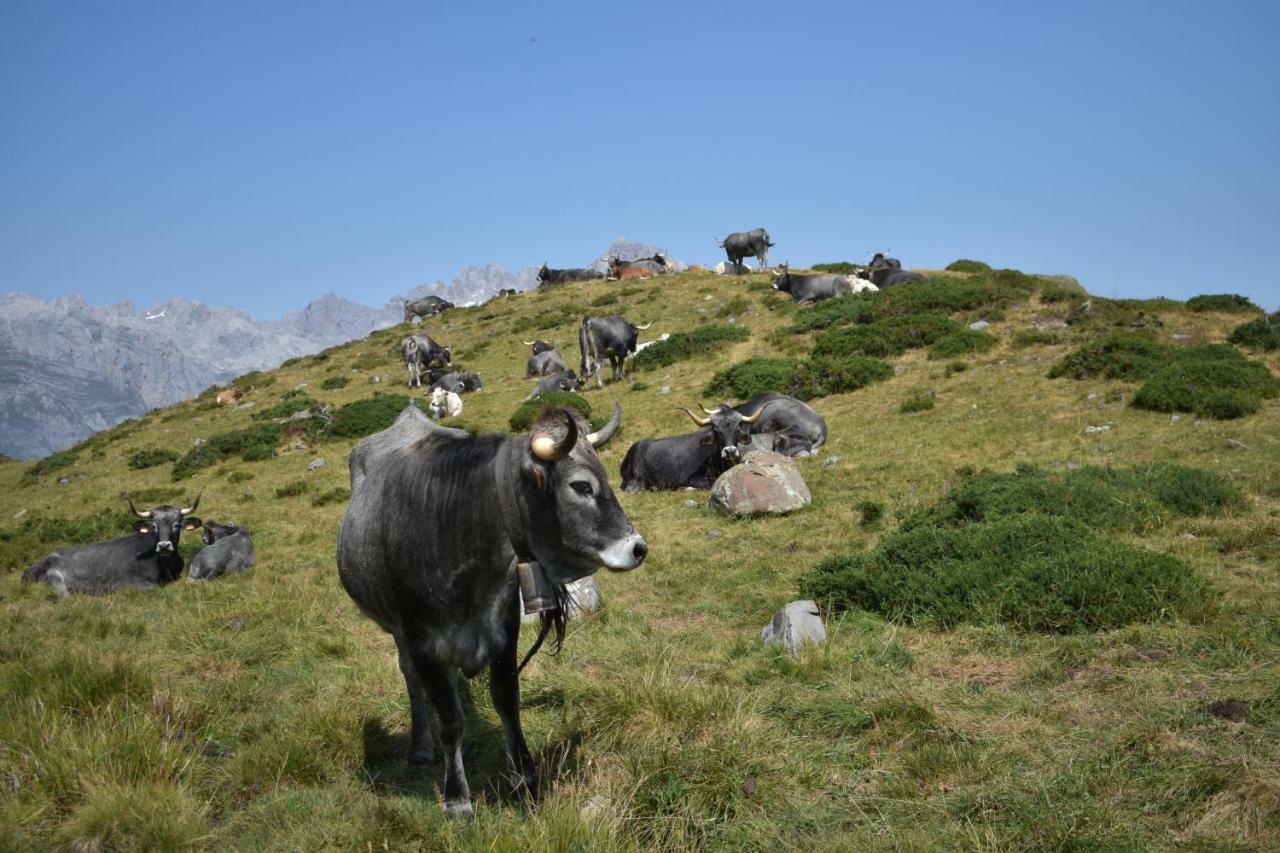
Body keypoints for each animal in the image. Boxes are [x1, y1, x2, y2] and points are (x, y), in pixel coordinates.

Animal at [337, 402, 645, 814]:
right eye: (581, 486)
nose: (638, 548)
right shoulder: (423, 643)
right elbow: (450, 720)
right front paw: (457, 798)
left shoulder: (504, 632)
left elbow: (506, 702)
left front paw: (525, 777)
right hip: (398, 632)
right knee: (413, 681)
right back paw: (421, 748)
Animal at [616, 402, 757, 489]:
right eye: (716, 430)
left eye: (738, 428)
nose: (730, 451)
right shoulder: (692, 478)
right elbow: (710, 482)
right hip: (634, 479)